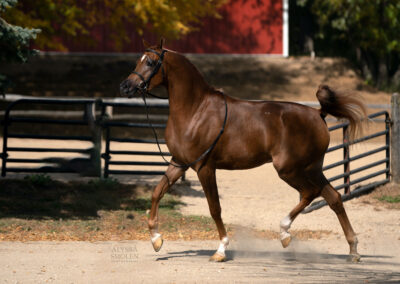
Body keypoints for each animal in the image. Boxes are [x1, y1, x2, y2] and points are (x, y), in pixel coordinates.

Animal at [119, 39, 366, 262]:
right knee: (333, 198)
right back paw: (353, 250)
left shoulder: (205, 168)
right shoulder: (179, 163)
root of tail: (317, 114)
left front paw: (220, 250)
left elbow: (214, 208)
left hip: (289, 170)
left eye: (150, 62)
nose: (126, 86)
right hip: (312, 169)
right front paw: (156, 239)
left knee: (310, 193)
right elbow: (157, 192)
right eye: (138, 60)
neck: (195, 110)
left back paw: (285, 233)